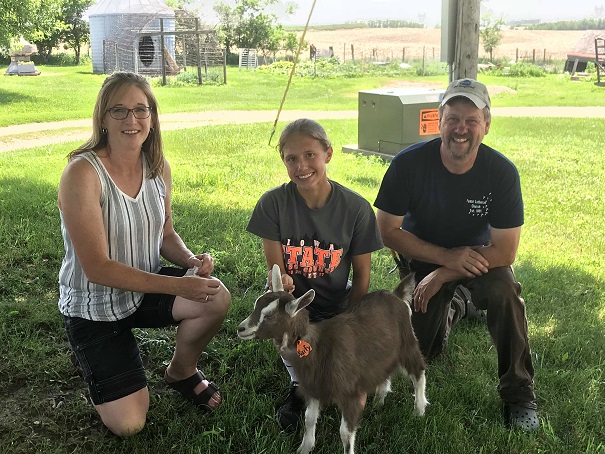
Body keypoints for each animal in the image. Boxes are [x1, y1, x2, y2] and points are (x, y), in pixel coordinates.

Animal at [236, 264, 424, 452]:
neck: (319, 349)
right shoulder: (313, 387)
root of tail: (397, 295)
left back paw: (419, 410)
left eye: (270, 316)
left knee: (418, 371)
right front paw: (305, 448)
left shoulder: (351, 393)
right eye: (256, 305)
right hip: (383, 354)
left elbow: (345, 433)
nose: (241, 328)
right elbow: (309, 418)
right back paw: (379, 402)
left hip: (407, 343)